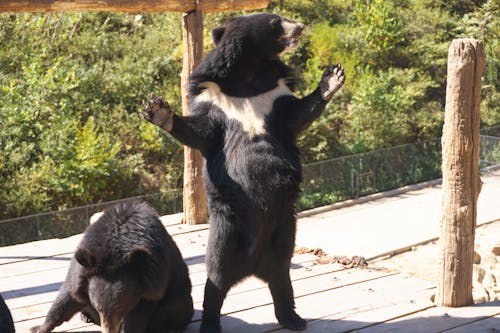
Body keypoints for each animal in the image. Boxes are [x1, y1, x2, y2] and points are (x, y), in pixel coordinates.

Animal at [29, 200, 193, 332]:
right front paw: (39, 328)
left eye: (120, 308)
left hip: (180, 296)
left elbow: (138, 316)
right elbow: (67, 297)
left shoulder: (152, 282)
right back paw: (85, 317)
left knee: (178, 307)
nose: (108, 330)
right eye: (99, 308)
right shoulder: (83, 268)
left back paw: (175, 327)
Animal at [141, 12, 344, 332]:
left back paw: (293, 318)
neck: (251, 71)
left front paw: (332, 77)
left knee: (282, 278)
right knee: (215, 279)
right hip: (227, 231)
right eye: (276, 21)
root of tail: (253, 265)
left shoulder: (275, 94)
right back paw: (211, 323)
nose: (300, 27)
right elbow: (201, 132)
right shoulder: (214, 98)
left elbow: (296, 116)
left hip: (284, 230)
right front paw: (158, 110)